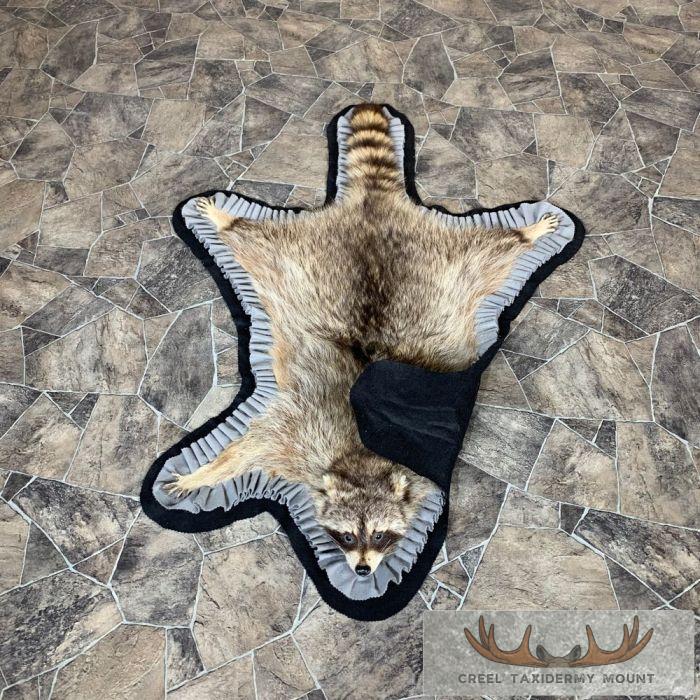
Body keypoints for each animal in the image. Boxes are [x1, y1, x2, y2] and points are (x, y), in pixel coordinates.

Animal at [167, 104, 558, 576]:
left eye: (381, 534)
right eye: (348, 535)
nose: (362, 571)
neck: (363, 463)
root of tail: (374, 205)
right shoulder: (300, 434)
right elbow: (248, 448)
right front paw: (205, 472)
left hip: (452, 263)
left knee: (494, 250)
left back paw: (525, 235)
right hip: (297, 254)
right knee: (254, 239)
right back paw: (226, 220)